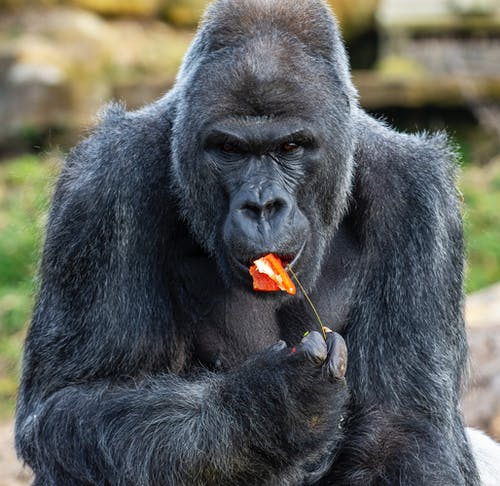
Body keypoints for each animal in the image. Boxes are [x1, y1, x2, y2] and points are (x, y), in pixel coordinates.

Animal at [14, 0, 480, 486]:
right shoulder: (102, 185)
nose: (261, 205)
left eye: (291, 147)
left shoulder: (417, 194)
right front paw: (270, 406)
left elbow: (403, 428)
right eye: (230, 150)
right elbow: (68, 403)